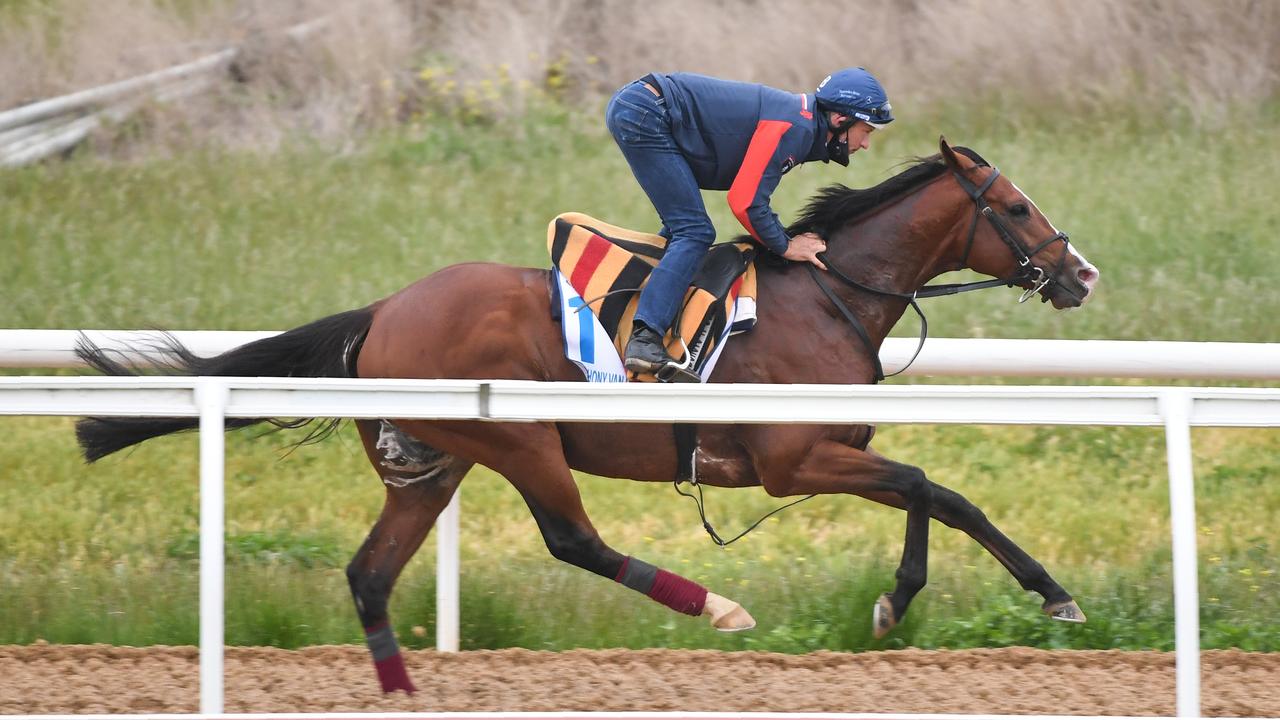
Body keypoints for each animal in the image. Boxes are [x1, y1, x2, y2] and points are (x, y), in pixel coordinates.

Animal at [74, 134, 1100, 691]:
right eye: (1015, 207)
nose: (1082, 274)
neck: (827, 297)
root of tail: (382, 312)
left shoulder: (827, 455)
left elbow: (950, 498)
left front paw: (1050, 593)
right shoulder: (793, 460)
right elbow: (929, 487)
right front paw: (896, 601)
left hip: (430, 465)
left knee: (369, 576)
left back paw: (403, 690)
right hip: (518, 436)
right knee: (573, 540)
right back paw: (716, 606)